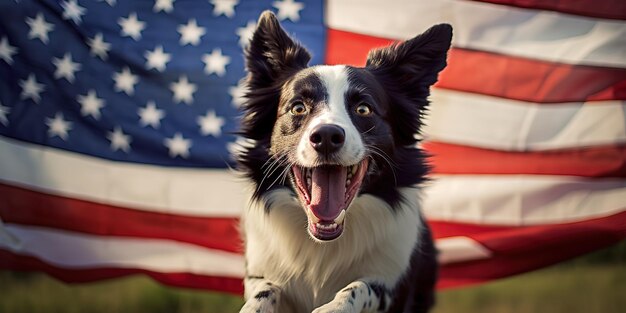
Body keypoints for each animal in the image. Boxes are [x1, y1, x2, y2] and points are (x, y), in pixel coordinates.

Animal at [236, 10, 450, 312]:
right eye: (298, 107)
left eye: (363, 109)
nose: (326, 136)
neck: (323, 244)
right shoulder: (261, 270)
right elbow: (264, 288)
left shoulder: (393, 283)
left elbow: (360, 287)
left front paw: (333, 306)